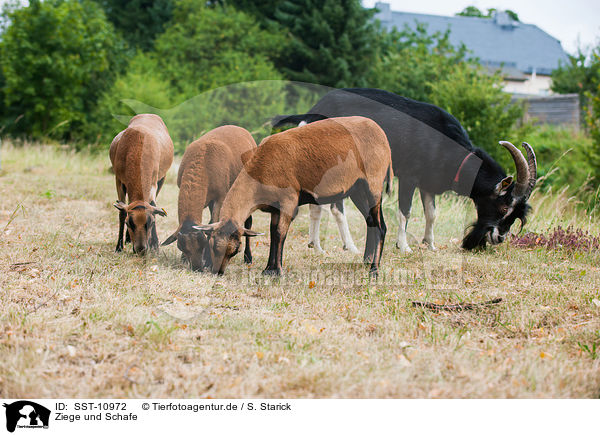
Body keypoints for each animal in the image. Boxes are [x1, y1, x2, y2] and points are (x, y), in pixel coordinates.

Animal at [109, 113, 173, 255]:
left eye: (151, 223)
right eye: (128, 223)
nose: (140, 249)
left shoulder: (154, 182)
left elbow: (153, 205)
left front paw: (155, 245)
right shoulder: (119, 180)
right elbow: (122, 212)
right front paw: (119, 247)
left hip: (162, 178)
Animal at [162, 124, 258, 270]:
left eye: (202, 245)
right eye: (181, 247)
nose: (197, 268)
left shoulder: (220, 197)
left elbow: (214, 222)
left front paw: (208, 260)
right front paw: (184, 259)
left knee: (248, 222)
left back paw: (248, 258)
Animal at [195, 116, 394, 276]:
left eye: (235, 251)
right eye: (212, 245)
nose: (217, 272)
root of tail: (382, 134)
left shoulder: (289, 201)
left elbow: (279, 234)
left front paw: (278, 271)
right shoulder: (275, 207)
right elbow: (273, 233)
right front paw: (268, 269)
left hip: (373, 184)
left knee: (381, 226)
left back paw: (374, 270)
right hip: (357, 189)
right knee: (371, 222)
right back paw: (366, 261)